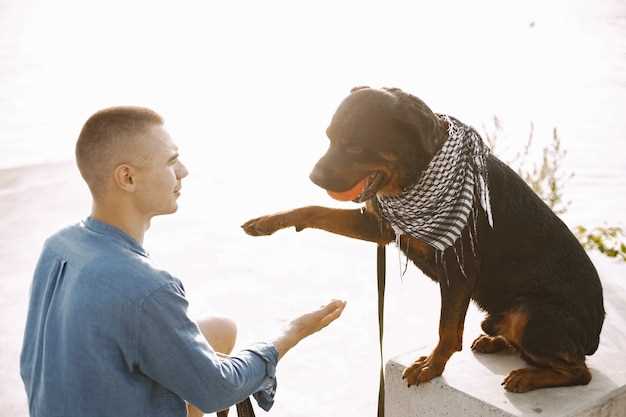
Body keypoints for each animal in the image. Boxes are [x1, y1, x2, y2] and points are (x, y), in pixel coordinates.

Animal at [241, 86, 604, 392]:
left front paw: (432, 366)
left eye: (355, 146)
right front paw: (268, 221)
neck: (413, 176)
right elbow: (315, 210)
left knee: (579, 371)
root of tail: (594, 335)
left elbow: (447, 329)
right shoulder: (382, 228)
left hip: (530, 313)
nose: (313, 177)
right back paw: (496, 342)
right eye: (328, 138)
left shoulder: (458, 271)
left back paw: (528, 377)